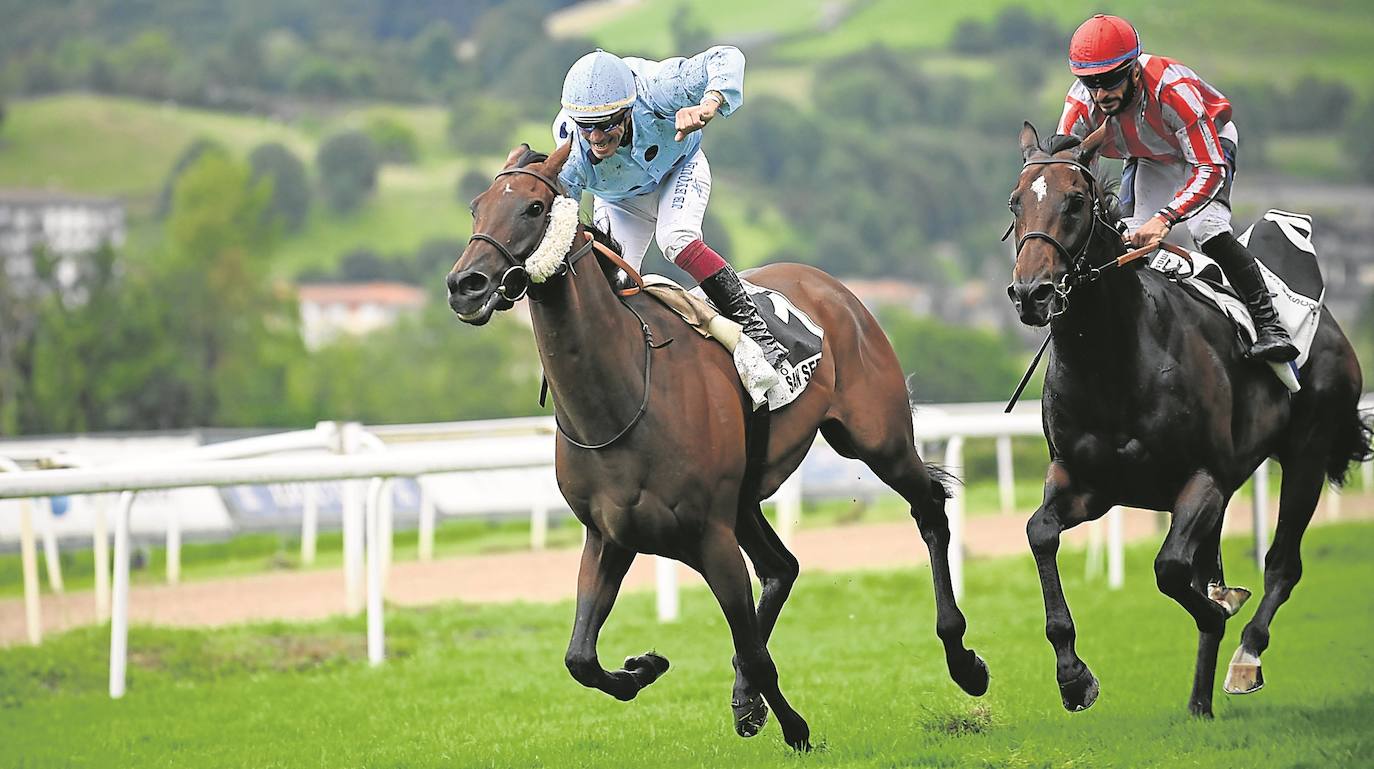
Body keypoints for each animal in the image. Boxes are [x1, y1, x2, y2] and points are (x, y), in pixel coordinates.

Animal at [447, 141, 989, 747]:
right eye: (477, 207)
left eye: (535, 208)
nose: (465, 285)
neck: (623, 394)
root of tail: (832, 287)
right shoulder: (610, 537)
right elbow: (580, 658)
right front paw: (644, 668)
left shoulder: (711, 536)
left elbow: (754, 653)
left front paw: (795, 728)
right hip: (747, 498)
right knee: (782, 567)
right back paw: (745, 696)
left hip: (878, 439)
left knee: (928, 510)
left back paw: (963, 660)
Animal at [1005, 122, 1368, 719]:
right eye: (1016, 203)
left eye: (1076, 201)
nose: (1031, 293)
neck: (1111, 360)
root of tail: (1333, 327)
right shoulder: (1085, 484)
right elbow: (1040, 534)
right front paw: (1073, 677)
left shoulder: (1203, 480)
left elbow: (1172, 570)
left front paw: (1222, 611)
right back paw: (1199, 701)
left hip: (1307, 456)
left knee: (1282, 564)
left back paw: (1245, 658)